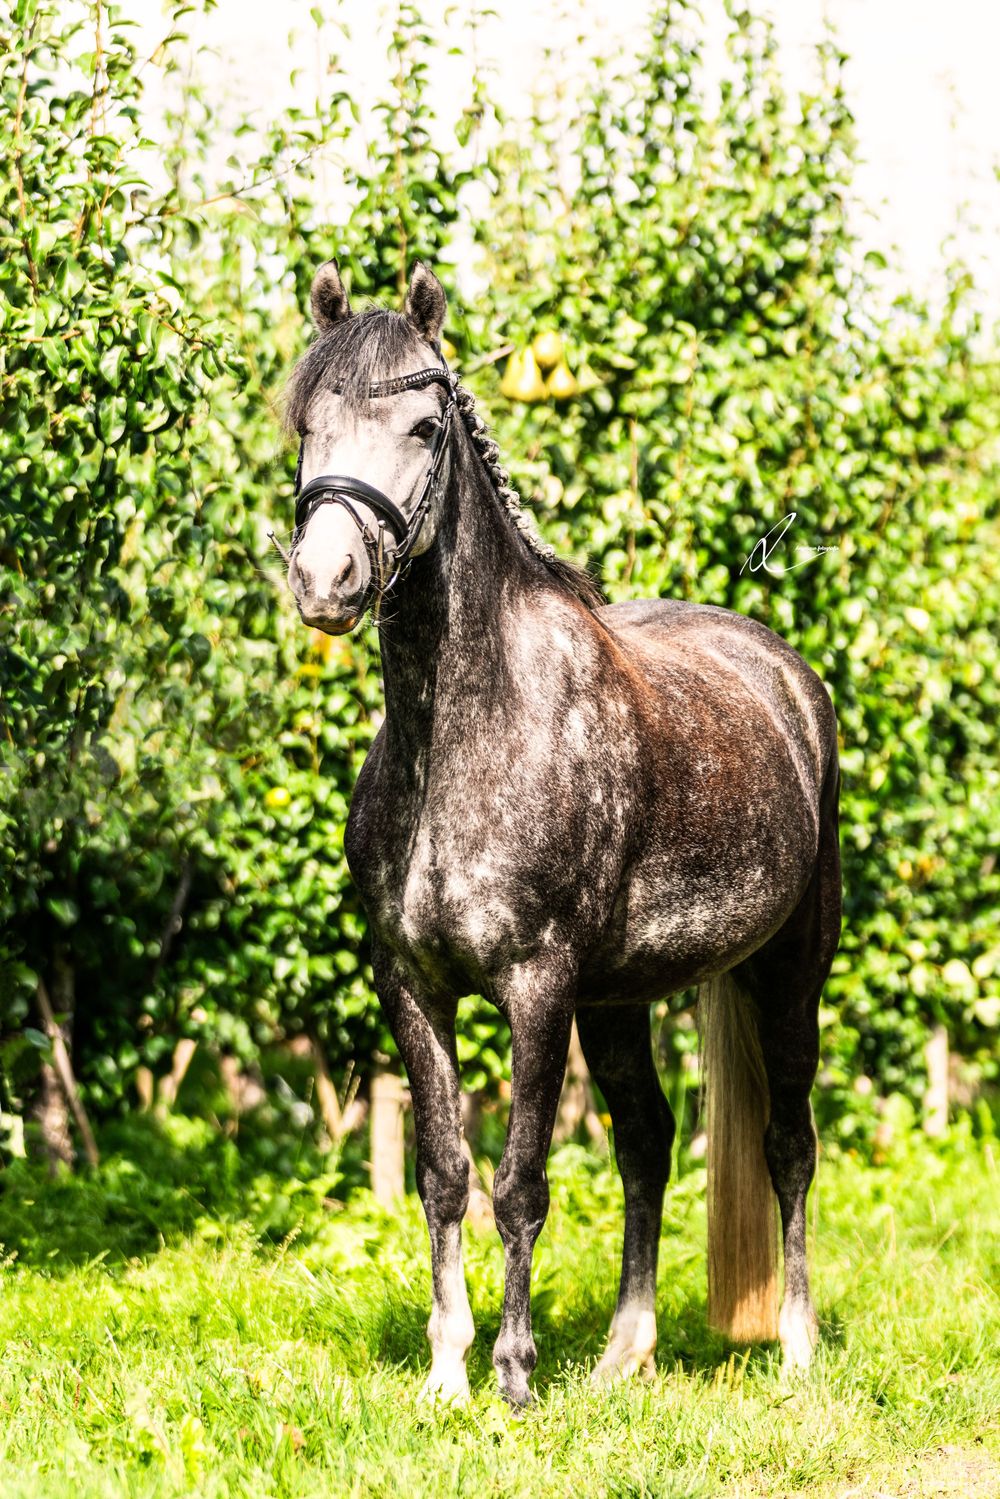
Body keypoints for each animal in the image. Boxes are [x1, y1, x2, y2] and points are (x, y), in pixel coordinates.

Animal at [280, 259, 842, 1408]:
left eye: (423, 427)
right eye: (310, 422)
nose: (325, 581)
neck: (466, 732)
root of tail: (786, 677)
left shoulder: (536, 986)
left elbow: (519, 1180)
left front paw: (512, 1372)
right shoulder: (414, 984)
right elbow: (445, 1173)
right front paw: (446, 1370)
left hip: (787, 972)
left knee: (787, 1142)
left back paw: (797, 1346)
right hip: (619, 998)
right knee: (648, 1142)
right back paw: (627, 1352)